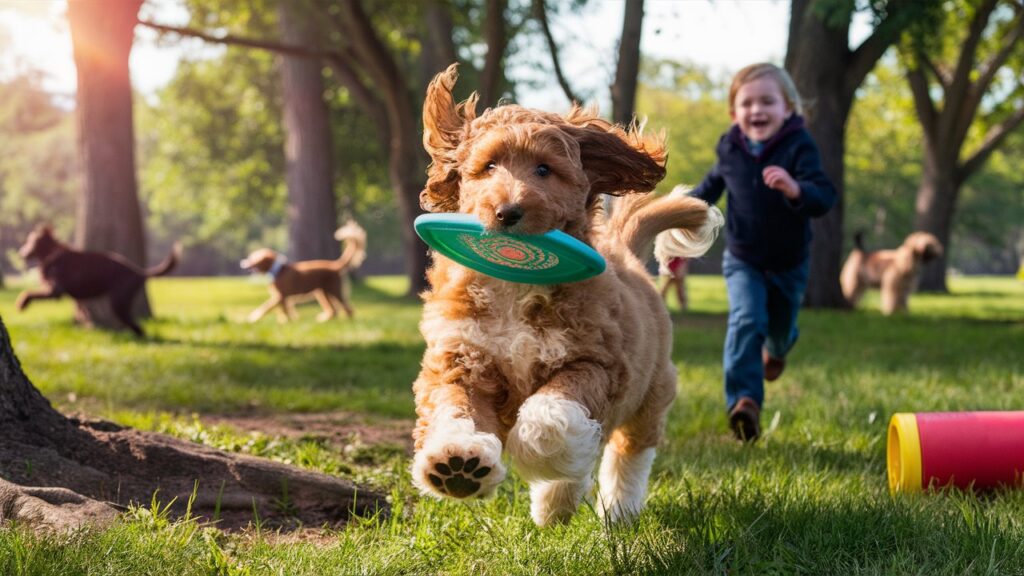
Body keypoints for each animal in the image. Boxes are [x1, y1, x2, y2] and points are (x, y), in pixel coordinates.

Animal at [16, 222, 179, 334]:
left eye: (30, 241)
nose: (21, 252)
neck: (51, 252)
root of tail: (139, 271)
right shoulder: (72, 296)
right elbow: (82, 312)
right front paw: (86, 324)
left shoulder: (55, 290)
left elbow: (28, 293)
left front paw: (21, 304)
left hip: (119, 302)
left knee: (136, 327)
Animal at [239, 218, 368, 319]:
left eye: (253, 258)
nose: (243, 263)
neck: (278, 270)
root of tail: (335, 265)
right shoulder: (283, 298)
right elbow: (284, 311)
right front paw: (288, 321)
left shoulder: (280, 296)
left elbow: (266, 308)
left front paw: (254, 318)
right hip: (322, 292)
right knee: (333, 310)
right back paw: (325, 319)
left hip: (333, 290)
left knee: (347, 308)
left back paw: (348, 320)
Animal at [411, 66, 724, 524]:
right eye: (488, 167)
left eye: (544, 169)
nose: (507, 212)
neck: (515, 290)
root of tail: (624, 249)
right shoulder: (461, 358)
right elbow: (455, 409)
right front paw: (457, 462)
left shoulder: (594, 363)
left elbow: (549, 416)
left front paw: (534, 451)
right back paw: (553, 503)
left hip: (652, 390)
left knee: (629, 452)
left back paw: (616, 509)